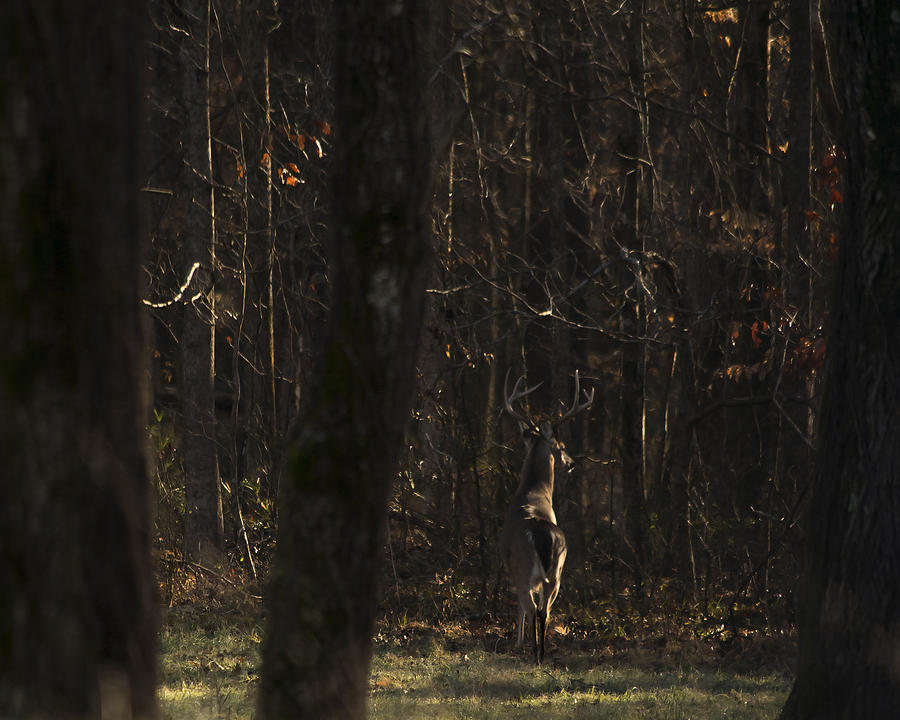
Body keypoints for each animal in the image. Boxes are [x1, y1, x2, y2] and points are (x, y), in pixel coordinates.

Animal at [496, 372, 596, 664]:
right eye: (561, 446)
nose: (571, 462)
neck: (533, 492)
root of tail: (544, 537)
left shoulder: (512, 566)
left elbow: (519, 607)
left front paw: (517, 641)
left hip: (524, 567)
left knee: (531, 607)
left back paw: (532, 652)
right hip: (558, 571)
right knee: (545, 610)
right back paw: (541, 653)